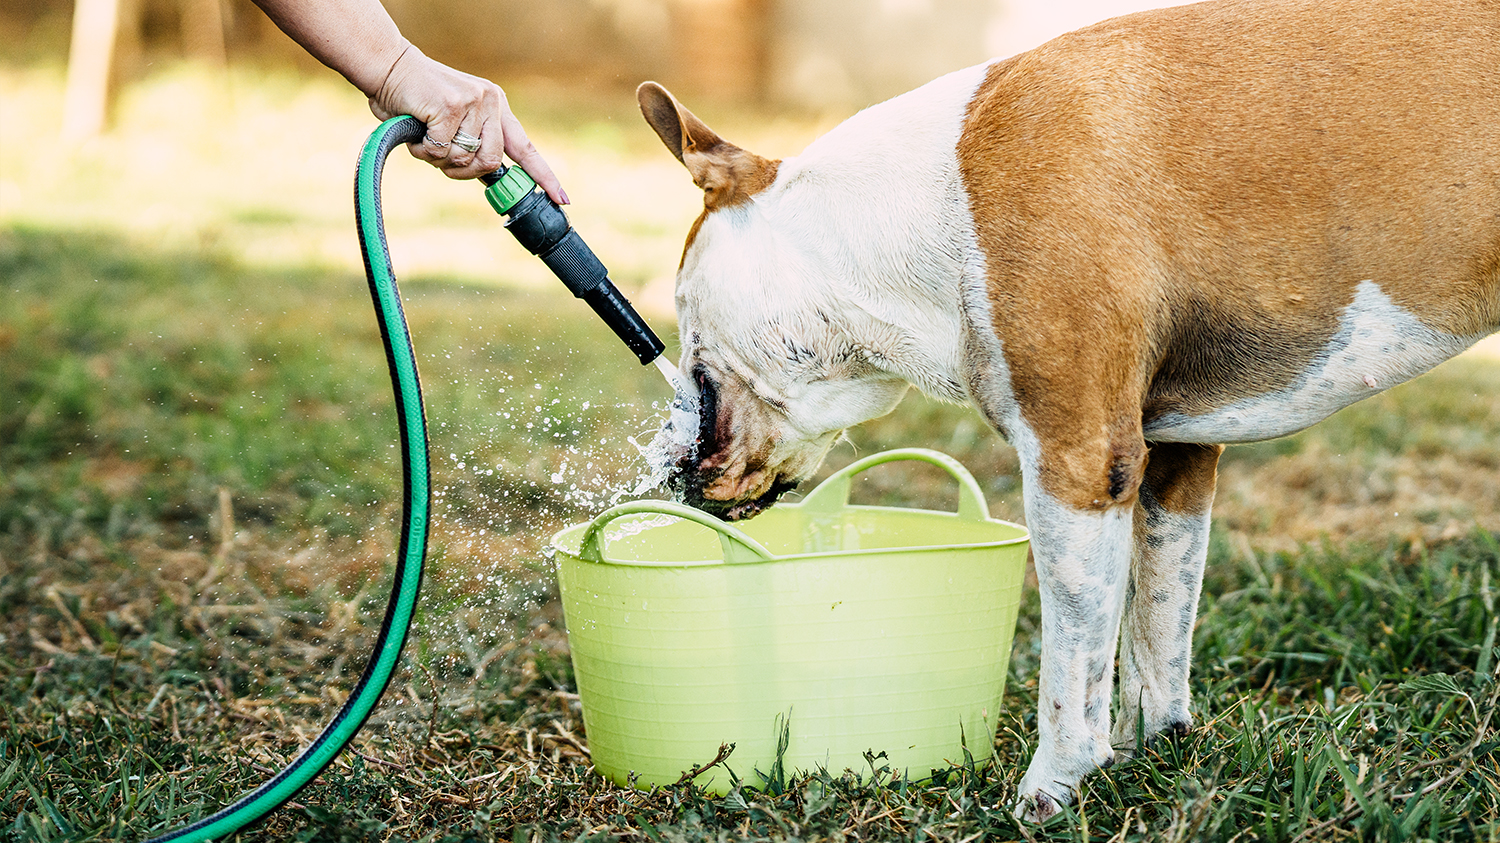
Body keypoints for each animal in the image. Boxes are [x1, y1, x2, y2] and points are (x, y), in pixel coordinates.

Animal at [636, 0, 1500, 816]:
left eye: (680, 308)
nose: (663, 456)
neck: (921, 209)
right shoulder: (1175, 459)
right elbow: (1156, 628)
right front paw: (1156, 746)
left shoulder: (1076, 462)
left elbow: (1071, 662)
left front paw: (1051, 786)